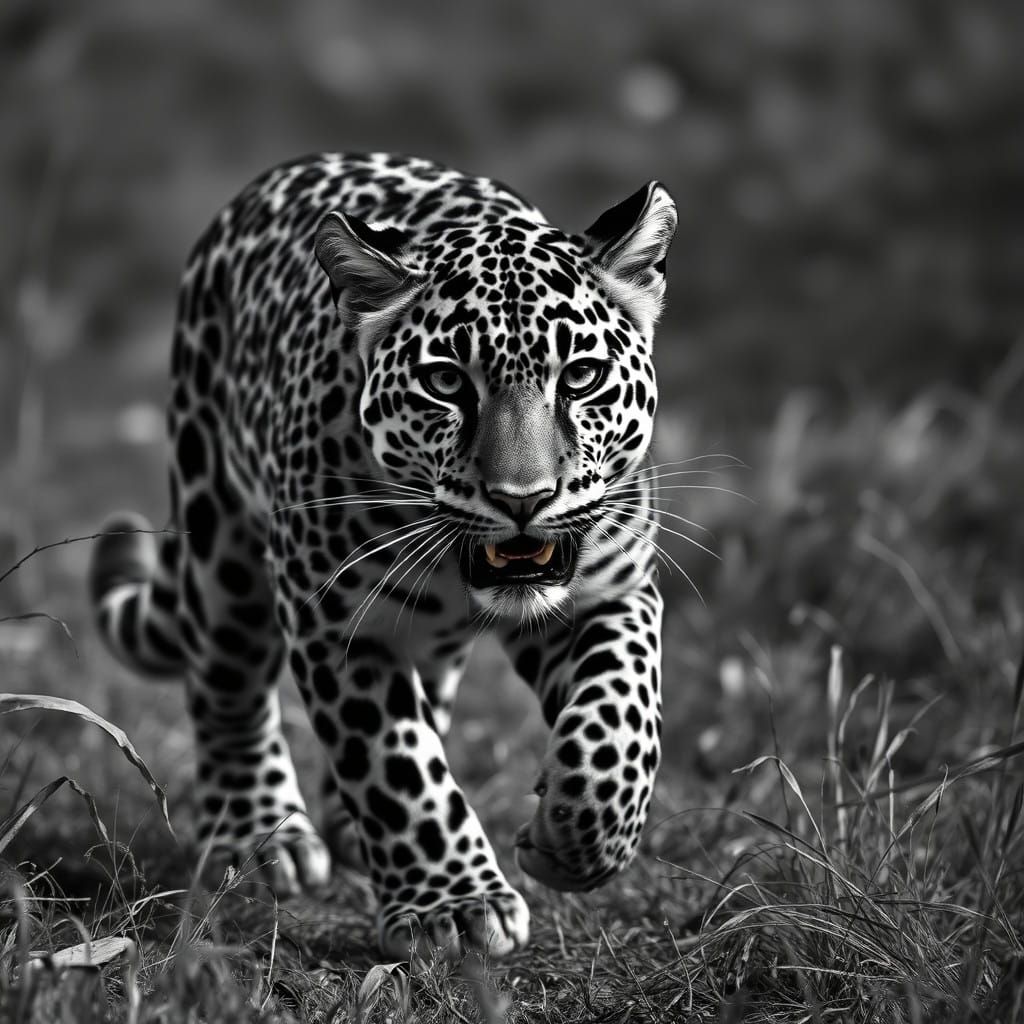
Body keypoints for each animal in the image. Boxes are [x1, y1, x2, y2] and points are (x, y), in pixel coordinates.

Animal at [89, 152, 676, 958]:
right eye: (445, 381)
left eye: (580, 378)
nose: (522, 497)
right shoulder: (337, 623)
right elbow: (395, 767)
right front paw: (454, 903)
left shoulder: (611, 593)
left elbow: (621, 722)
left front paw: (574, 838)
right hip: (220, 540)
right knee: (226, 684)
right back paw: (259, 834)